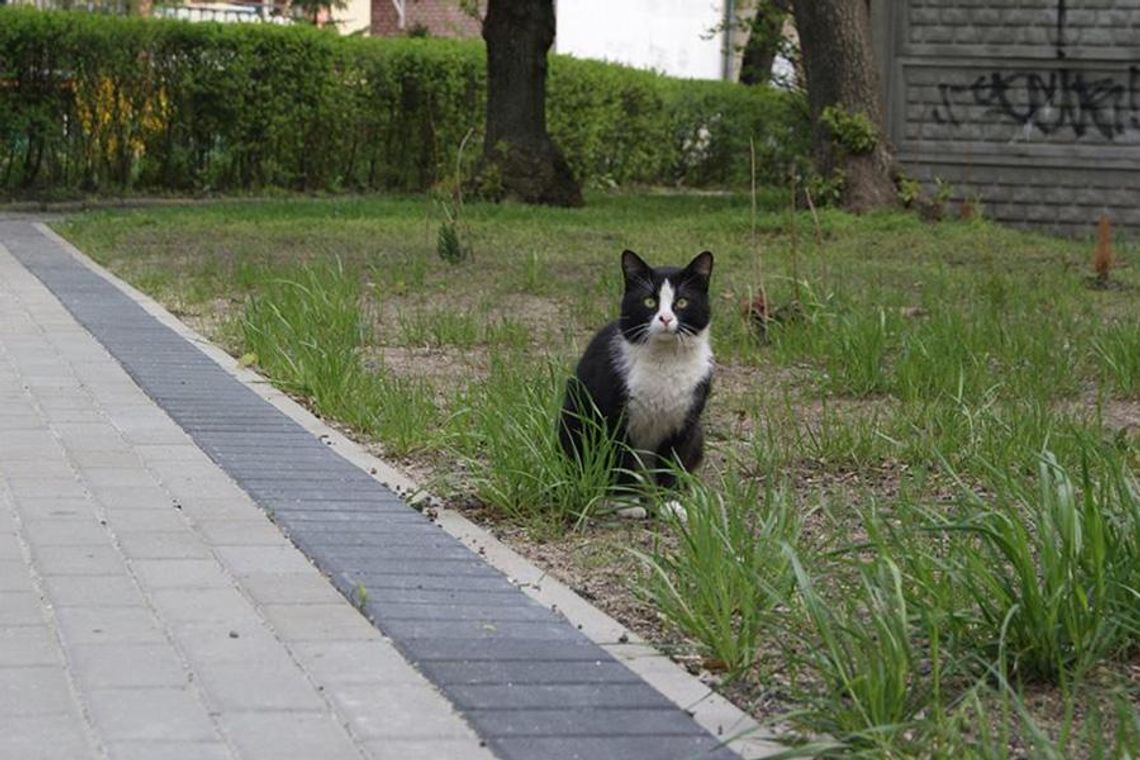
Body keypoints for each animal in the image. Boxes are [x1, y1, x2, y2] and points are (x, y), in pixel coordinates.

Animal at [558, 250, 711, 510]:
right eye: (649, 302)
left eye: (682, 302)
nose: (665, 318)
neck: (665, 360)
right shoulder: (613, 417)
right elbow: (621, 458)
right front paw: (627, 502)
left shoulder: (686, 421)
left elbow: (673, 462)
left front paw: (671, 503)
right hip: (574, 417)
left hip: (698, 434)